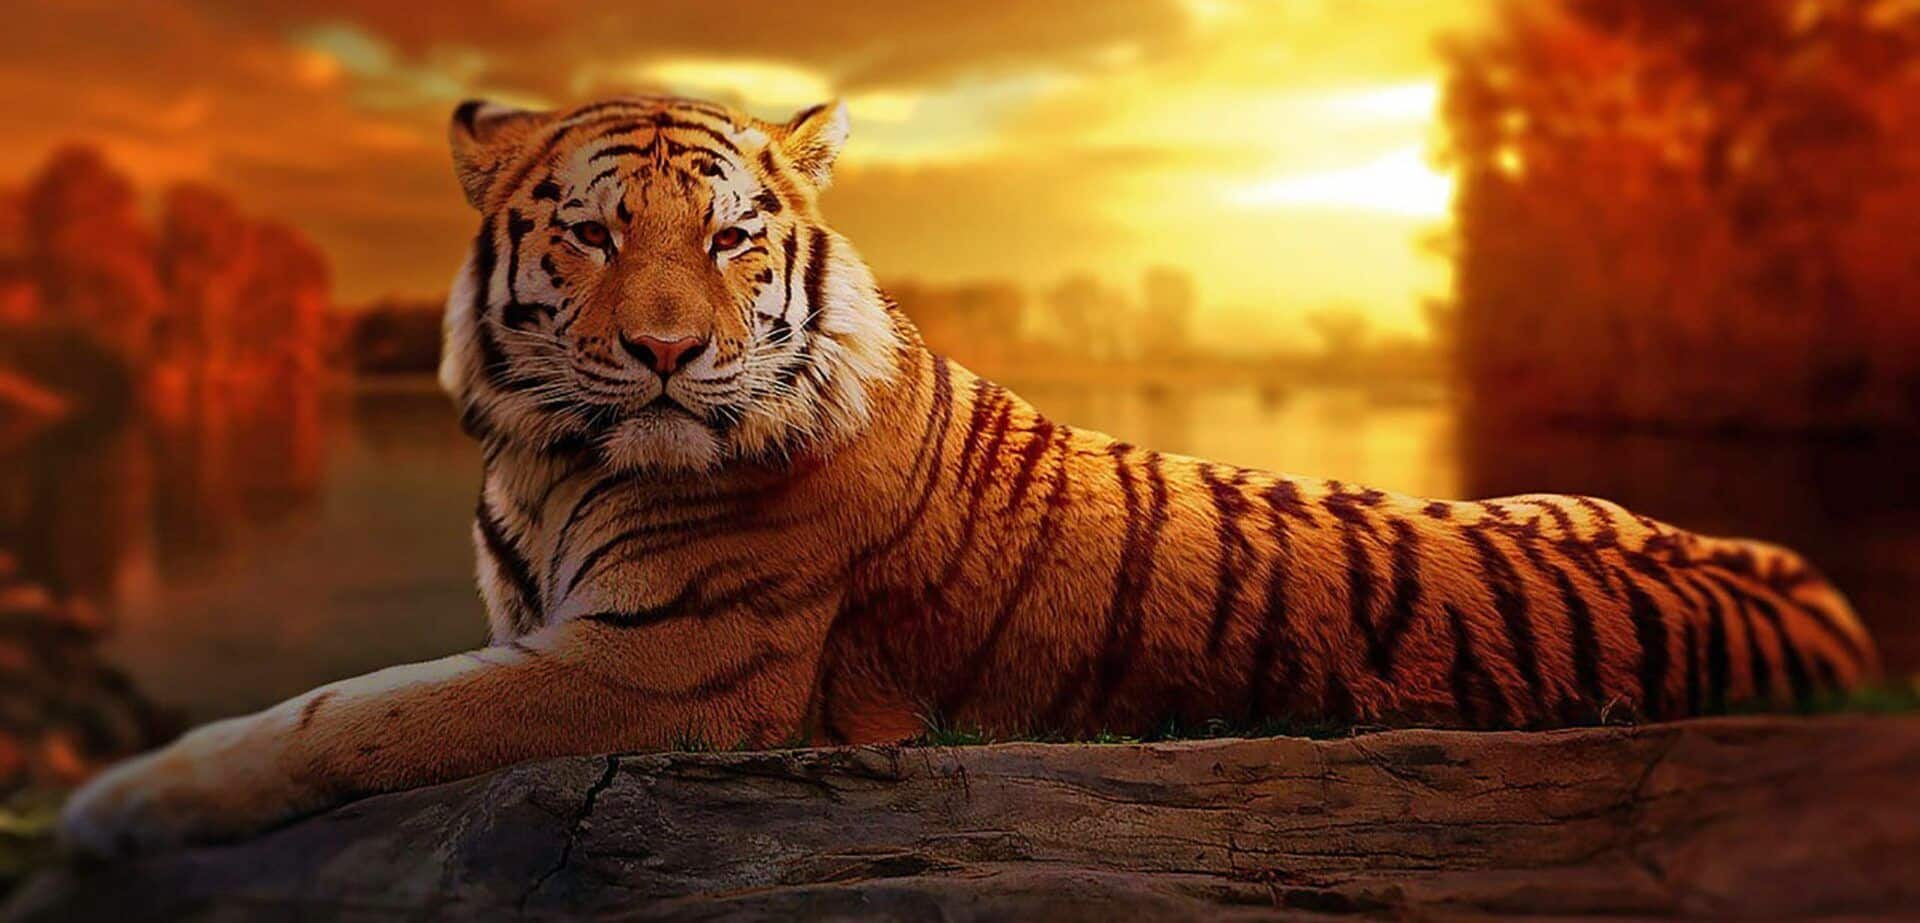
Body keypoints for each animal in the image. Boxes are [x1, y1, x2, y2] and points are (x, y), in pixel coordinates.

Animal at [60, 94, 1878, 856]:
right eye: (592, 232)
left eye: (731, 238)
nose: (666, 353)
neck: (548, 460)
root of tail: (1816, 598)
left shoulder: (655, 672)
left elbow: (348, 712)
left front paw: (119, 803)